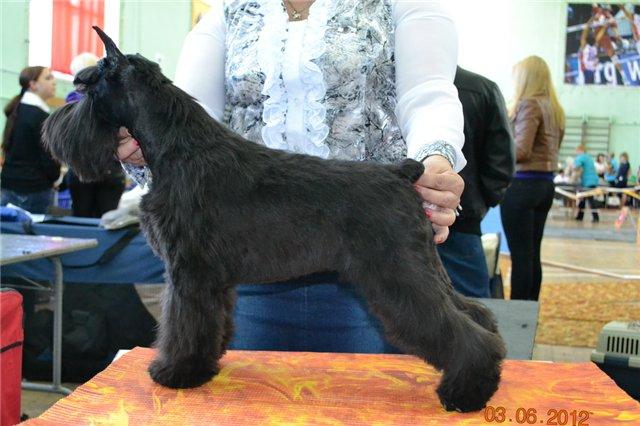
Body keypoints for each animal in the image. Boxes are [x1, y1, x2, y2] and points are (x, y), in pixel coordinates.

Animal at [43, 27, 505, 413]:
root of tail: (404, 173)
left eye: (85, 89)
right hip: (420, 268)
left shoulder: (188, 272)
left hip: (397, 274)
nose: (51, 130)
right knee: (474, 314)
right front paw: (204, 367)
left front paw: (176, 372)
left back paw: (465, 392)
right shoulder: (212, 281)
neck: (178, 146)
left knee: (462, 331)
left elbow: (183, 325)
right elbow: (209, 325)